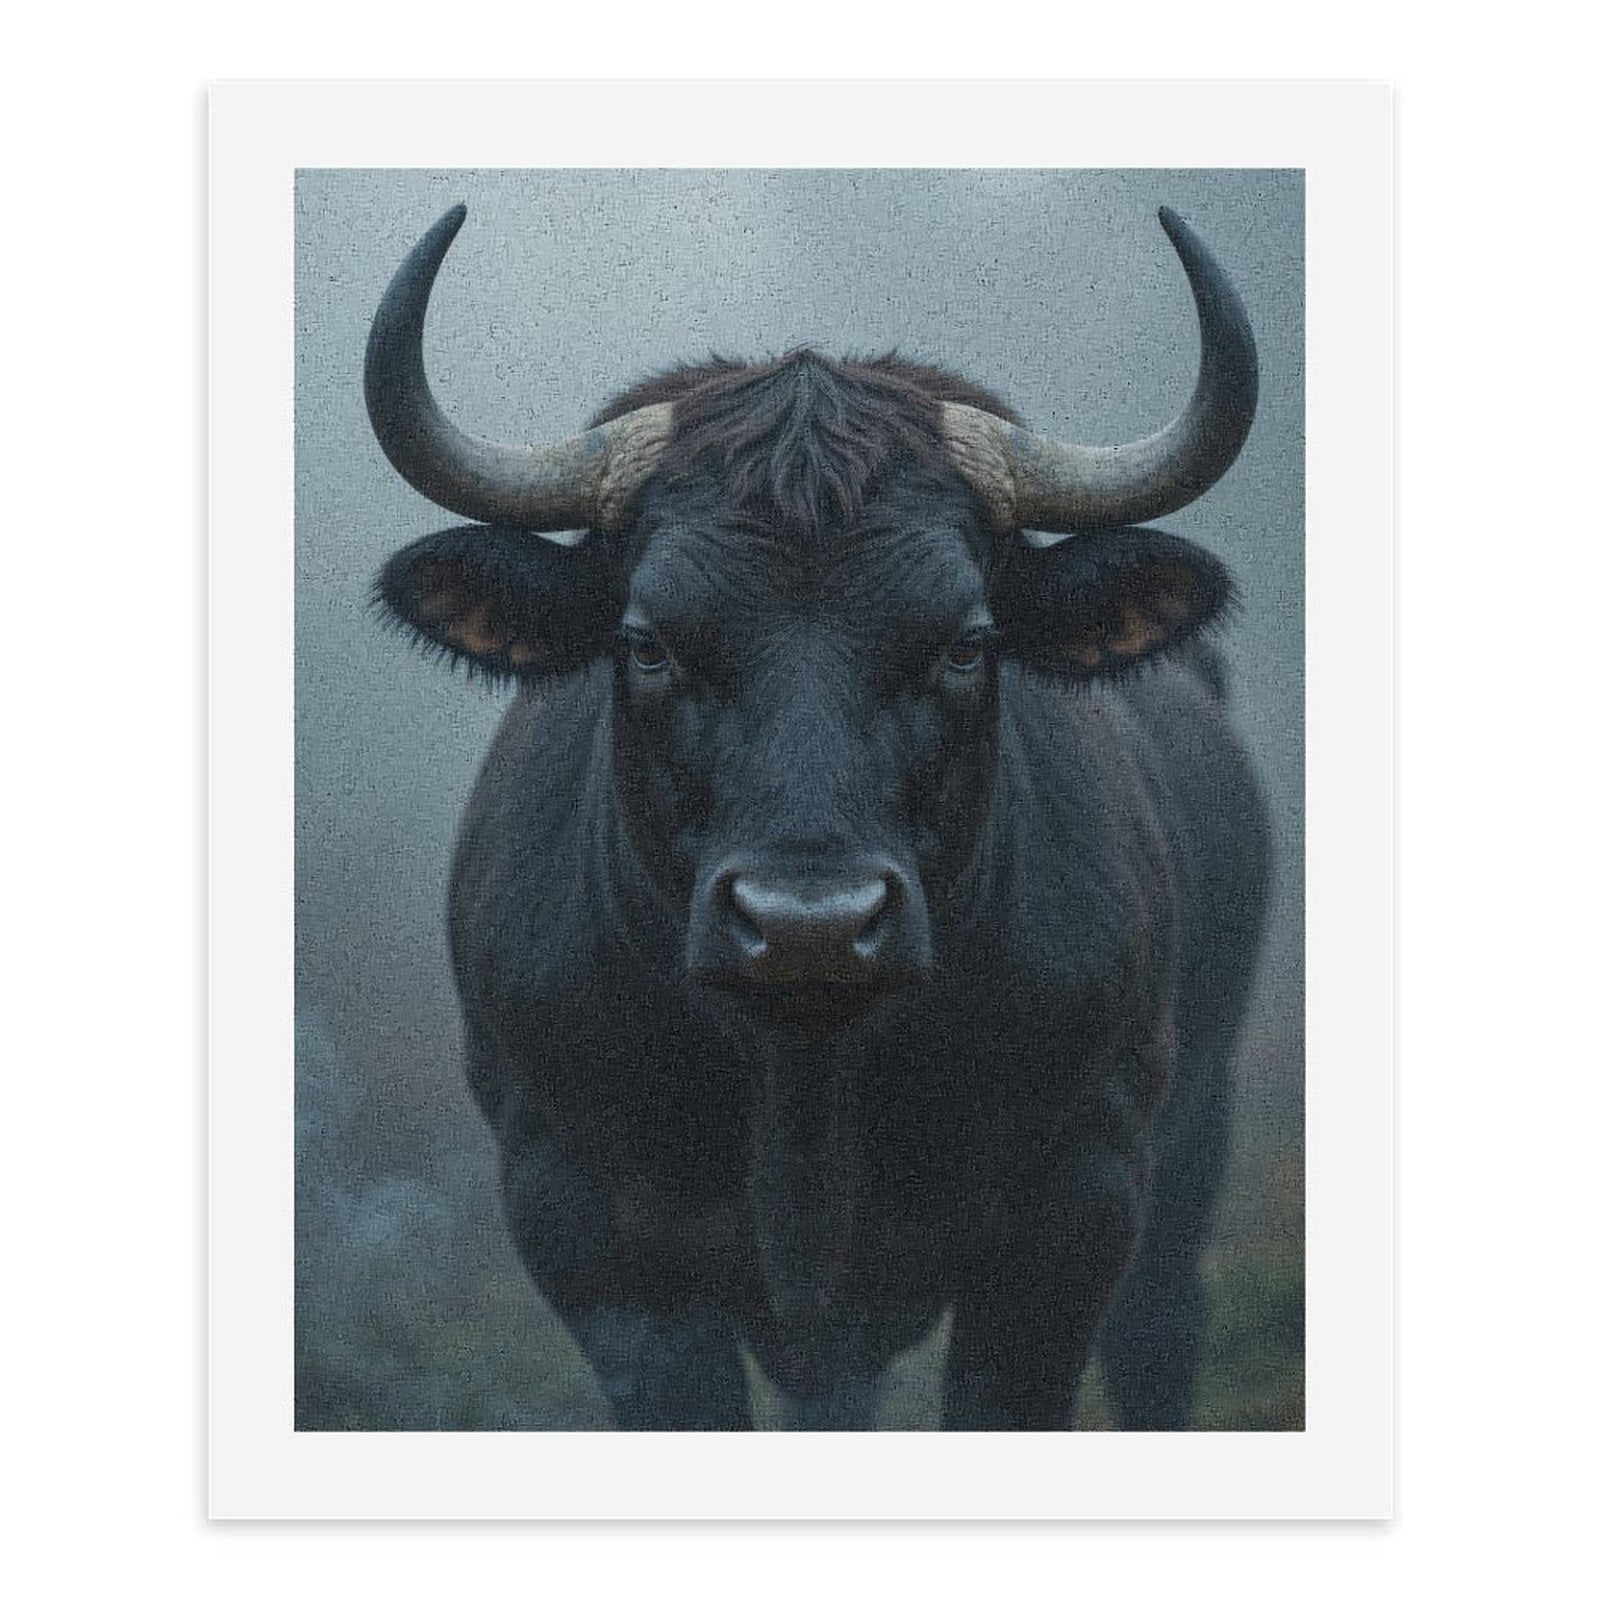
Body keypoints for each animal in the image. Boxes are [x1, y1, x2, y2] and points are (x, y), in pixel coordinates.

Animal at [361, 202, 1272, 1430]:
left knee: (1158, 1330)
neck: (802, 1071)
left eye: (966, 642)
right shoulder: (582, 1219)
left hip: (1197, 1125)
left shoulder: (1076, 1204)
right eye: (646, 642)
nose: (810, 925)